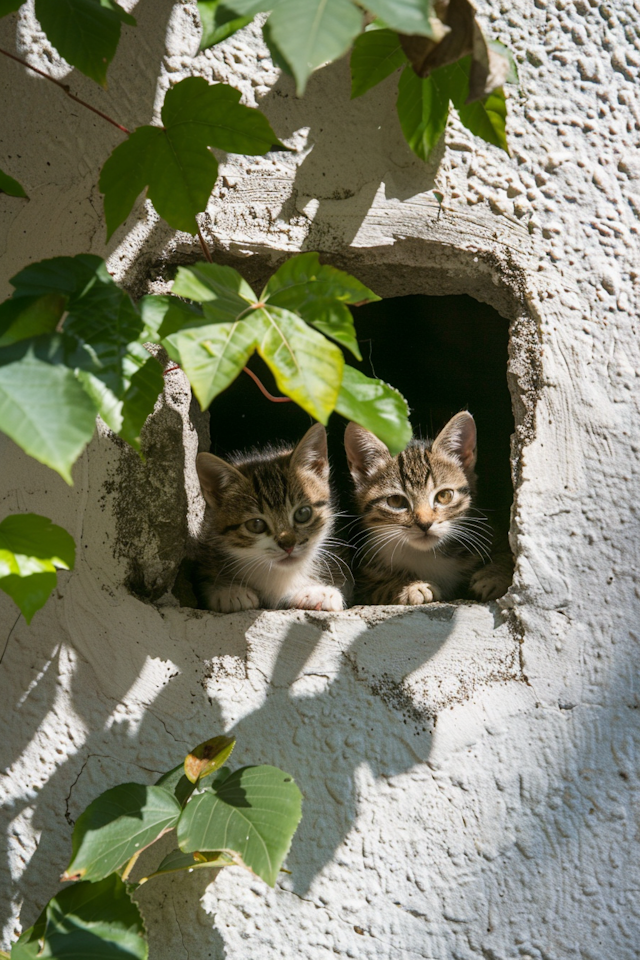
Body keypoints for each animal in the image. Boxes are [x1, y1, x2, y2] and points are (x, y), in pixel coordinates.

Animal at [342, 414, 512, 608]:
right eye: (396, 501)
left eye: (444, 496)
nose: (425, 524)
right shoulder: (363, 581)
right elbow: (376, 588)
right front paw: (411, 587)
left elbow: (509, 554)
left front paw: (494, 576)